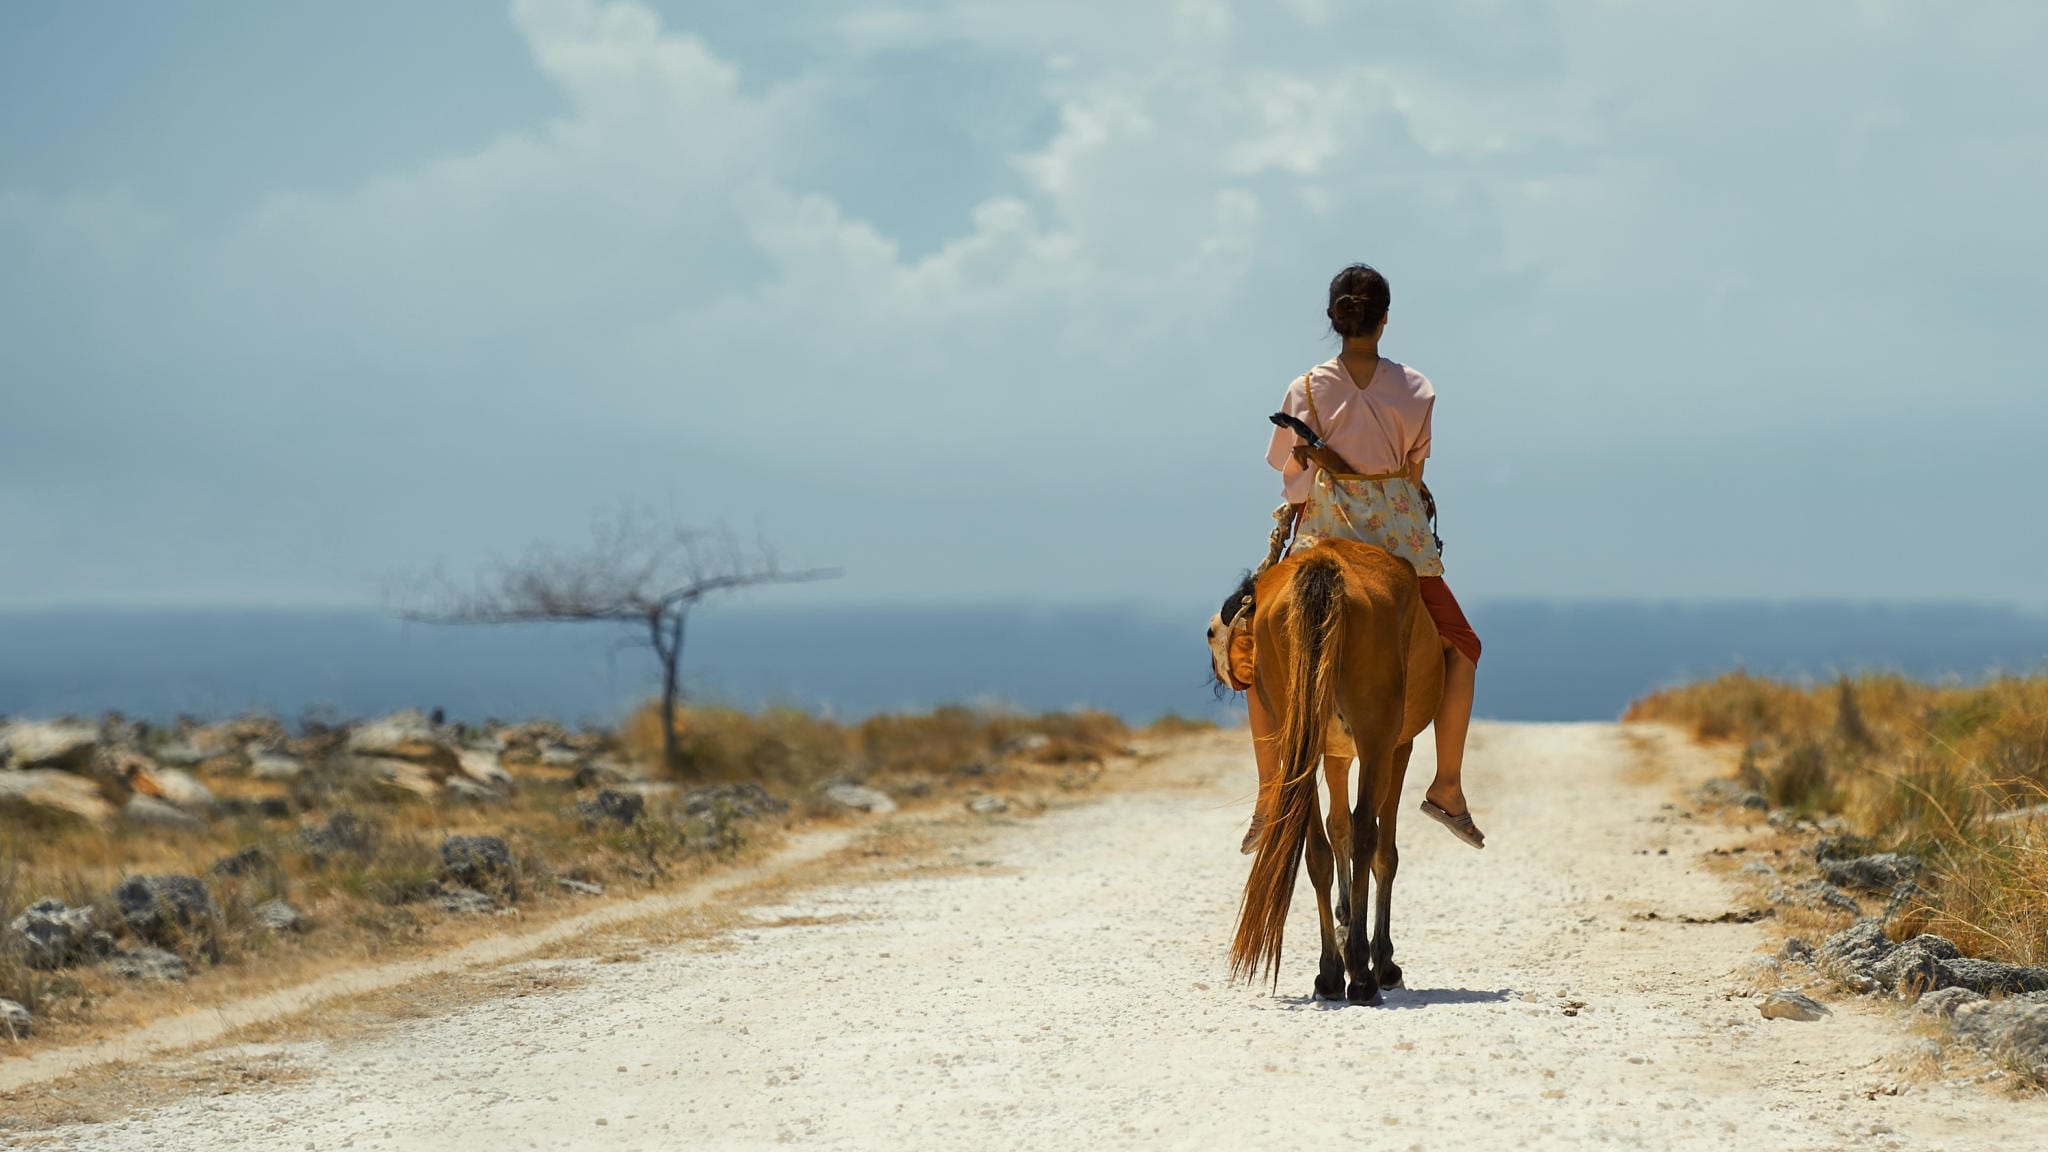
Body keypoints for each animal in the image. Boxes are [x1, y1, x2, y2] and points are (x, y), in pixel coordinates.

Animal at [1220, 537, 1449, 996]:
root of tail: (1325, 565)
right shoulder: (1399, 746)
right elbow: (1381, 850)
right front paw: (1381, 958)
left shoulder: (1336, 754)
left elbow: (1336, 827)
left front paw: (1343, 933)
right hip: (1376, 737)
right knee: (1367, 835)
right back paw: (1361, 972)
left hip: (1300, 740)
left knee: (1317, 849)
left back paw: (1329, 970)